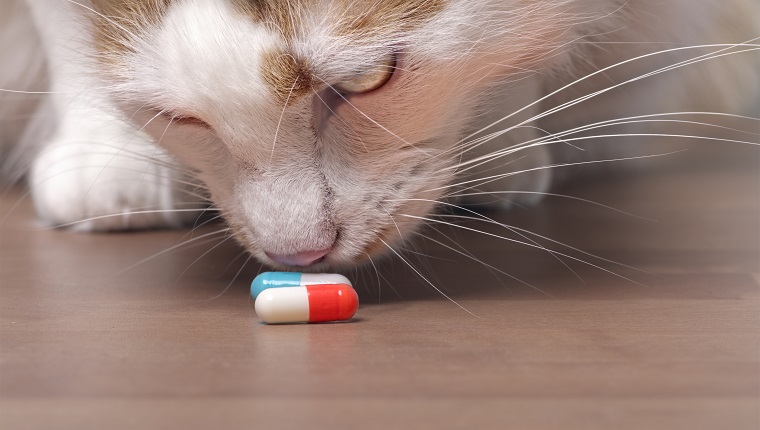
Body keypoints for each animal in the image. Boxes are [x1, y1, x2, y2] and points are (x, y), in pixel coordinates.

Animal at [0, 0, 756, 268]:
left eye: (368, 80)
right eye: (181, 118)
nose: (296, 254)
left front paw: (494, 144)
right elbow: (68, 36)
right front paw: (109, 158)